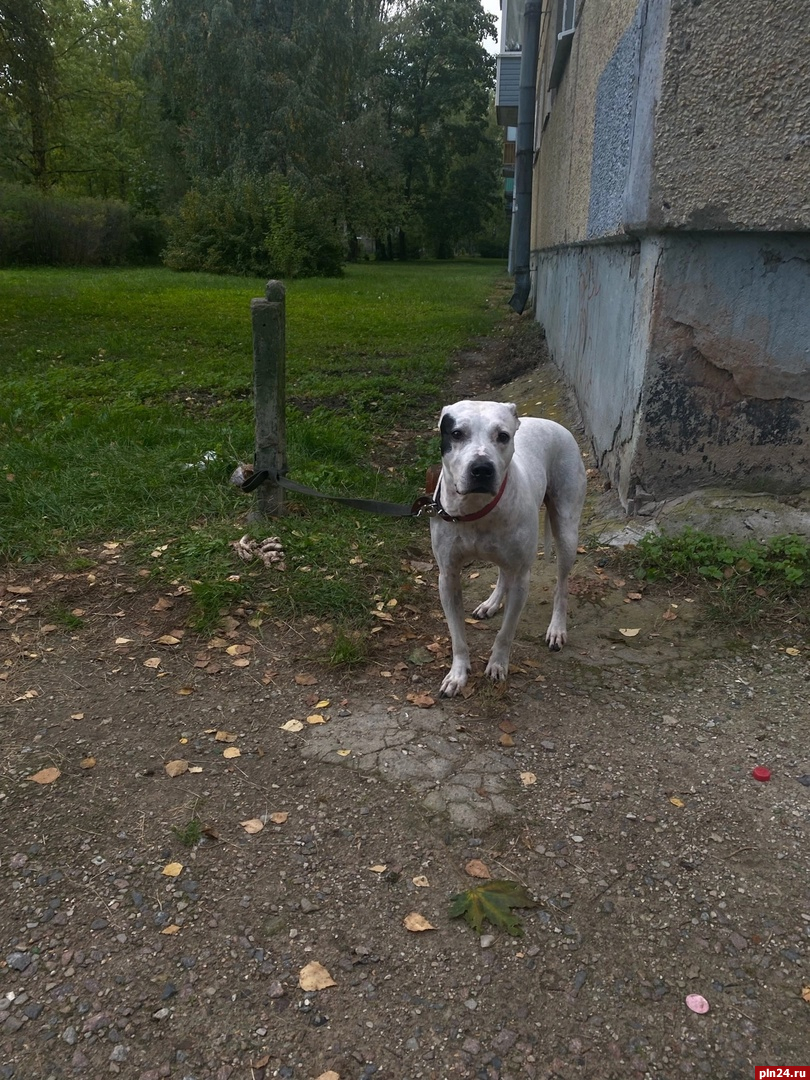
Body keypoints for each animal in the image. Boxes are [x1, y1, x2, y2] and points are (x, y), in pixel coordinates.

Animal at [432, 401, 591, 695]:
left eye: (503, 436)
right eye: (457, 433)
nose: (481, 468)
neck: (476, 509)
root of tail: (550, 422)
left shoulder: (521, 579)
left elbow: (506, 632)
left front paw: (497, 664)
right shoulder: (447, 577)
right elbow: (457, 636)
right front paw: (458, 674)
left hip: (566, 532)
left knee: (562, 585)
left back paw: (557, 628)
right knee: (502, 572)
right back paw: (491, 604)